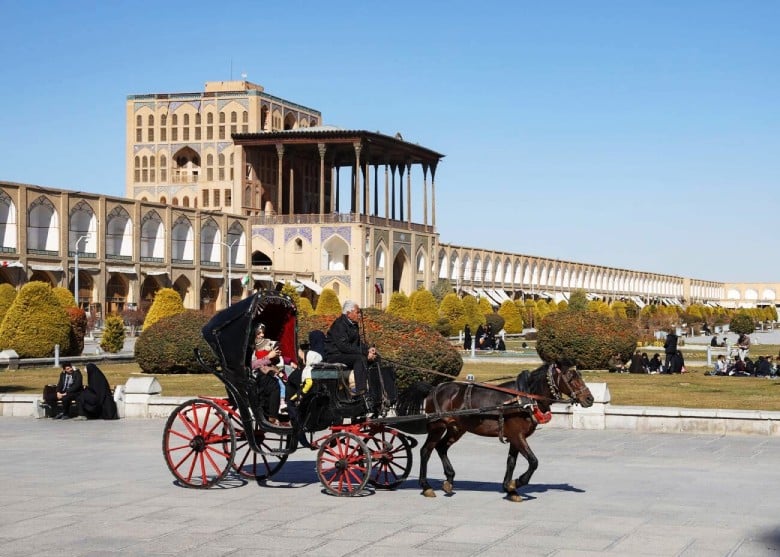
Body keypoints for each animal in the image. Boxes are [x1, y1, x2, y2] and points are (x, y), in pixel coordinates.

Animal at [396, 362, 592, 502]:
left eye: (580, 375)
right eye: (570, 377)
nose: (589, 398)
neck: (524, 398)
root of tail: (434, 388)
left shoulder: (514, 437)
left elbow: (511, 462)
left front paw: (510, 489)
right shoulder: (517, 436)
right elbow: (533, 461)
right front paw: (516, 483)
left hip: (457, 428)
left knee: (441, 448)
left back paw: (449, 480)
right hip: (438, 426)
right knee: (426, 451)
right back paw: (426, 486)